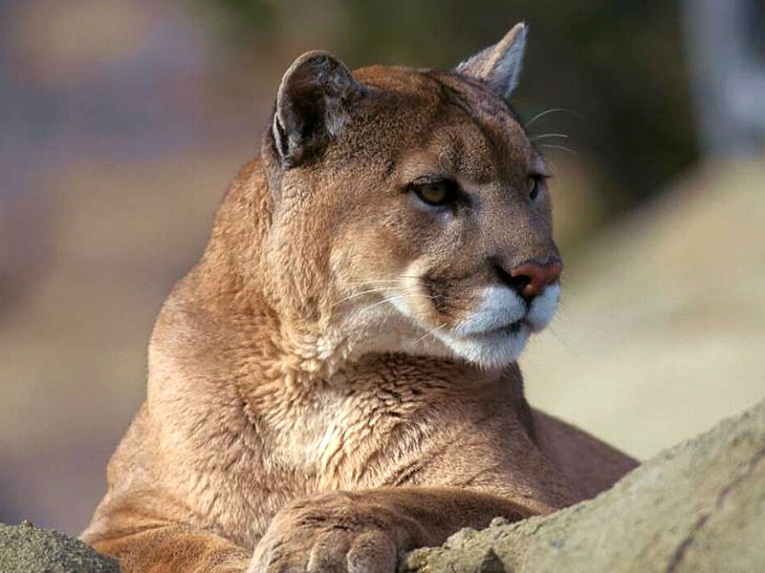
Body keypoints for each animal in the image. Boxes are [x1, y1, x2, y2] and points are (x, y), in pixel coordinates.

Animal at [82, 23, 637, 572]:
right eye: (435, 191)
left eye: (532, 183)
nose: (541, 272)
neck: (309, 382)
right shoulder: (121, 520)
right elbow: (181, 546)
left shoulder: (541, 498)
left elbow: (422, 499)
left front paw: (315, 534)